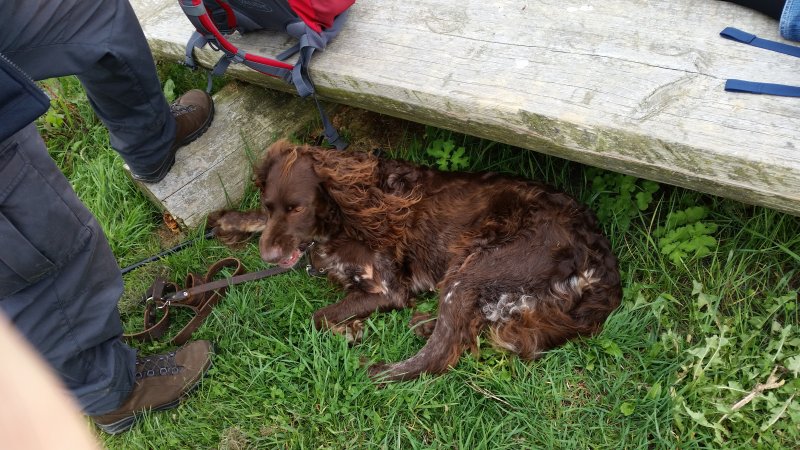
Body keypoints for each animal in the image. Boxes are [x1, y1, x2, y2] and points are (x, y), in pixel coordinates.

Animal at [208, 140, 622, 381]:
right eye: (269, 204)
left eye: (298, 208)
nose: (269, 257)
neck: (344, 216)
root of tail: (601, 263)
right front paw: (229, 221)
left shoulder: (386, 288)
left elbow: (319, 315)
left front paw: (348, 331)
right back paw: (423, 324)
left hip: (471, 272)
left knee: (439, 353)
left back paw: (376, 368)